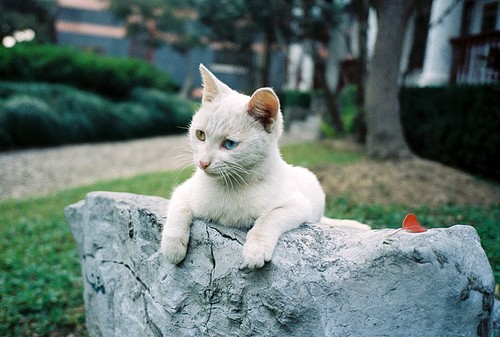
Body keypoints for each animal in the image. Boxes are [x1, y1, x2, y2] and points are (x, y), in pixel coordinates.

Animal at [162, 63, 370, 268]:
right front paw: (173, 245)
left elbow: (268, 218)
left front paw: (255, 249)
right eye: (200, 135)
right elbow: (178, 207)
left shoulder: (297, 204)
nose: (203, 162)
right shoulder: (185, 189)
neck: (231, 185)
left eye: (229, 144)